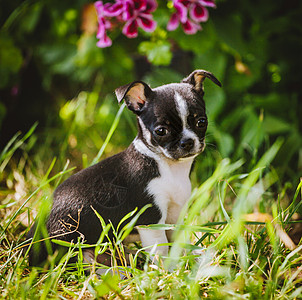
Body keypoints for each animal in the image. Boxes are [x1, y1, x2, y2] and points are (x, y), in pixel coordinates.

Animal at [27, 69, 222, 266]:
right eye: (161, 131)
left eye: (201, 122)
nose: (187, 141)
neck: (168, 167)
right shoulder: (151, 220)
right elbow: (160, 250)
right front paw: (167, 269)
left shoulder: (175, 215)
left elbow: (178, 241)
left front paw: (192, 258)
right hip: (72, 246)